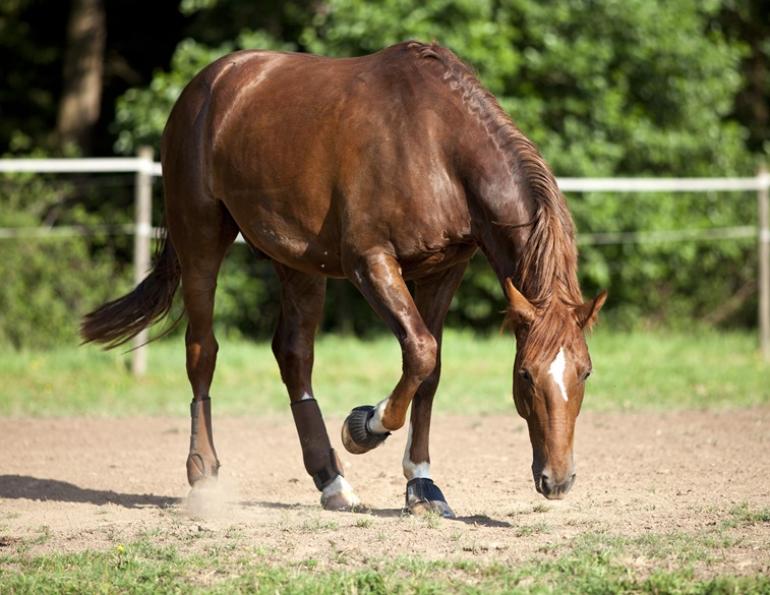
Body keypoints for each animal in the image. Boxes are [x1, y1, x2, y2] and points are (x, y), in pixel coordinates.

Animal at [82, 41, 606, 517]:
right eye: (525, 375)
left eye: (584, 372)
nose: (558, 480)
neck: (437, 143)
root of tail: (208, 84)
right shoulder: (369, 261)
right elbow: (419, 351)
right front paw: (364, 427)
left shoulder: (444, 269)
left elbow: (430, 370)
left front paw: (422, 486)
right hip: (201, 240)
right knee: (202, 350)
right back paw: (205, 477)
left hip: (296, 262)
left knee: (294, 356)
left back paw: (331, 481)